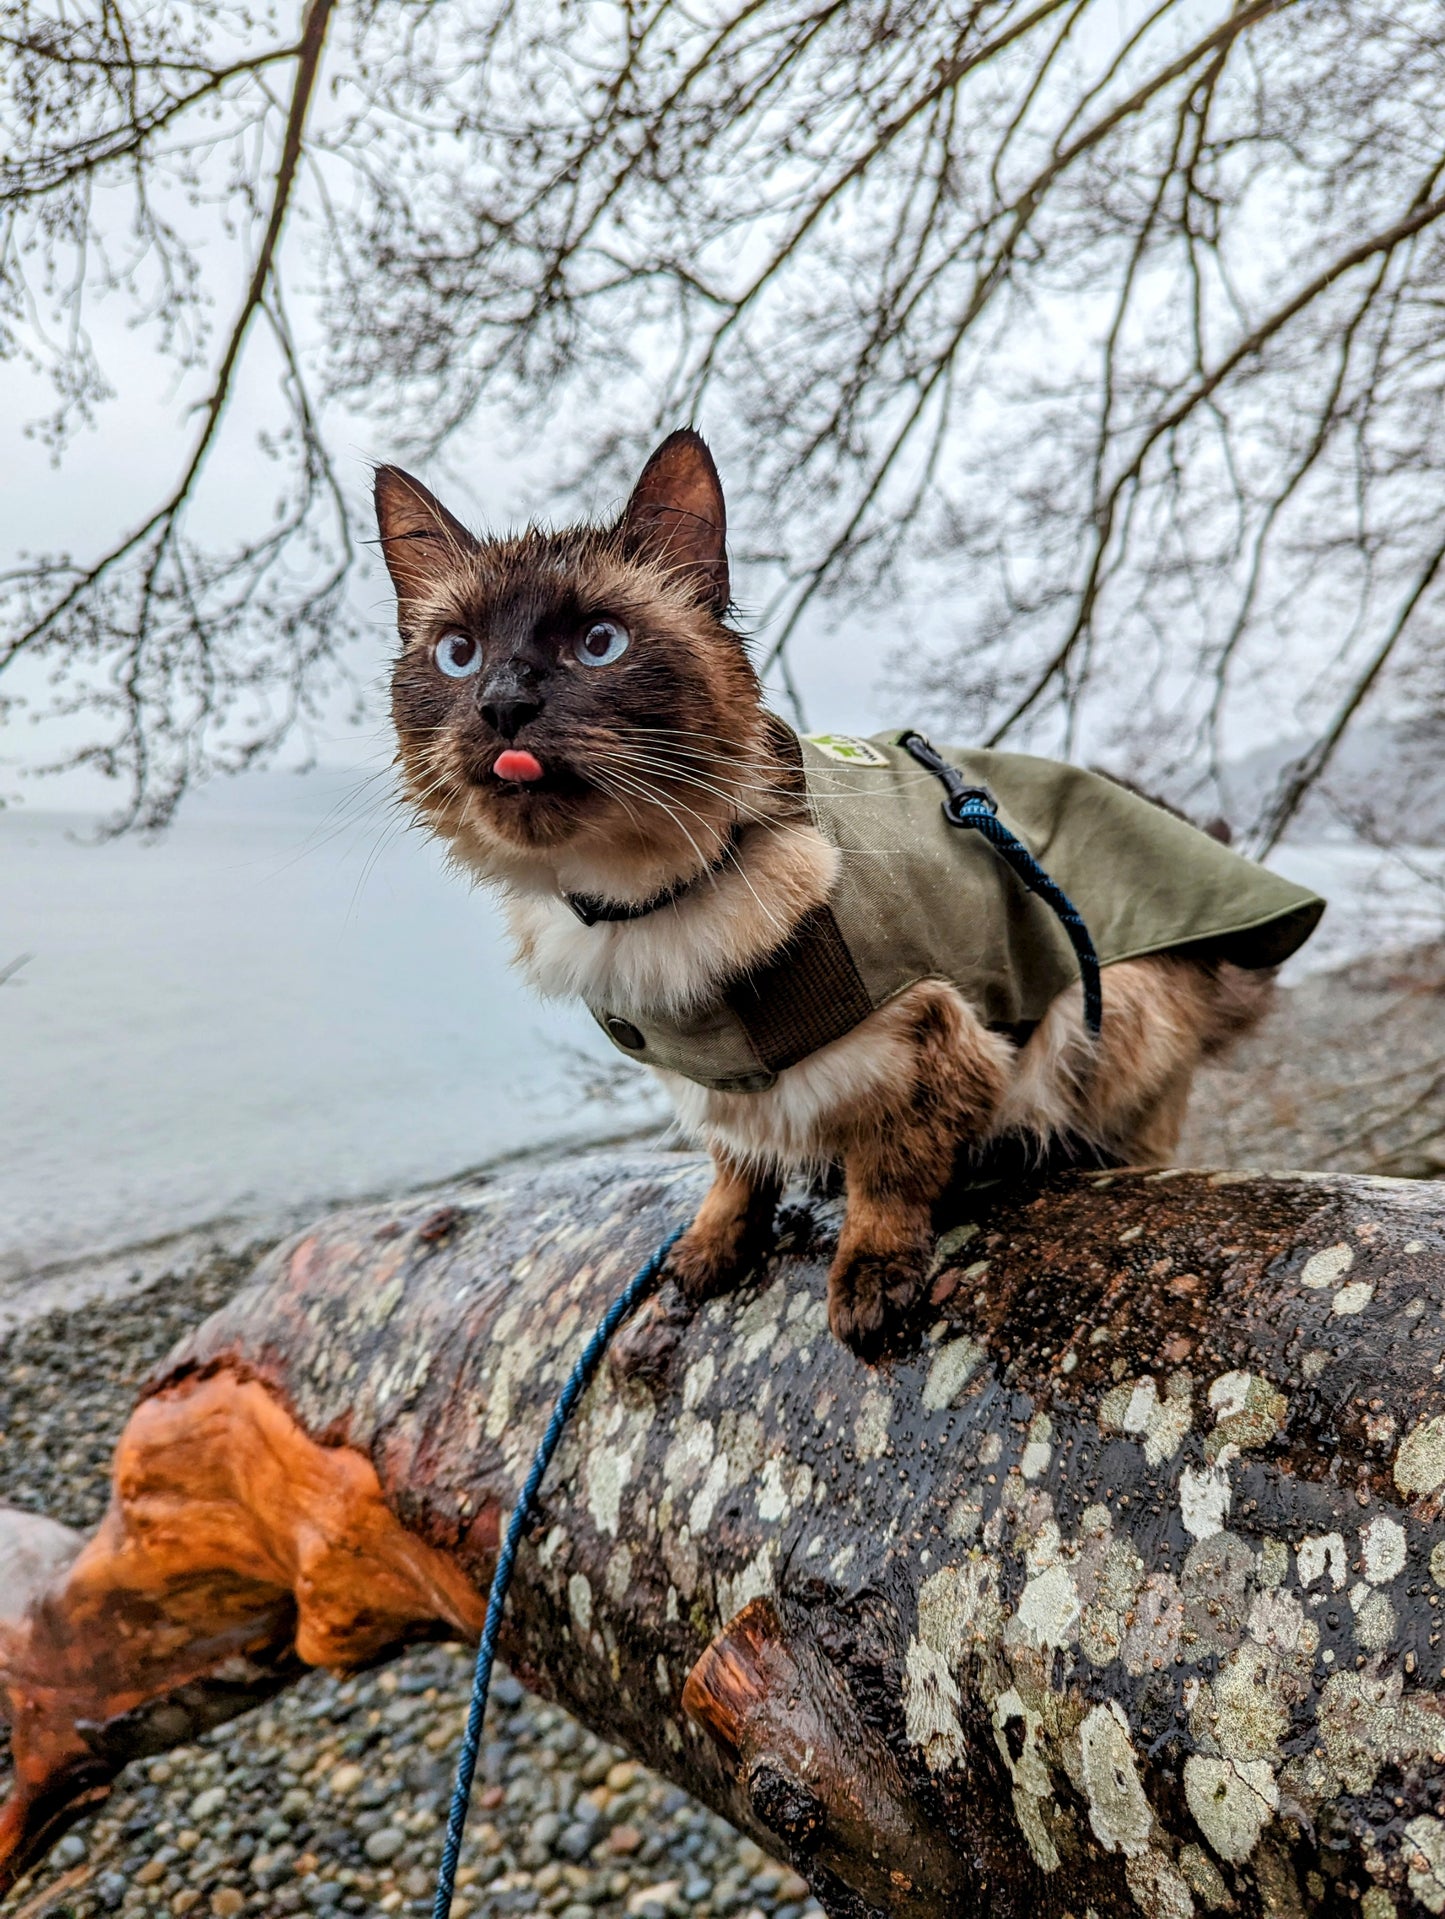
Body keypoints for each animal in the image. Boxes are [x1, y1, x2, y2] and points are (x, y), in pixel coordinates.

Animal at [372, 427, 1320, 1358]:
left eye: (599, 642)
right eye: (458, 654)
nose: (501, 705)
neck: (648, 905)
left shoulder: (931, 1043)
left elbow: (888, 1181)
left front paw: (867, 1284)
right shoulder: (718, 1085)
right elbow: (732, 1171)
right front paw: (711, 1249)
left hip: (1106, 1019)